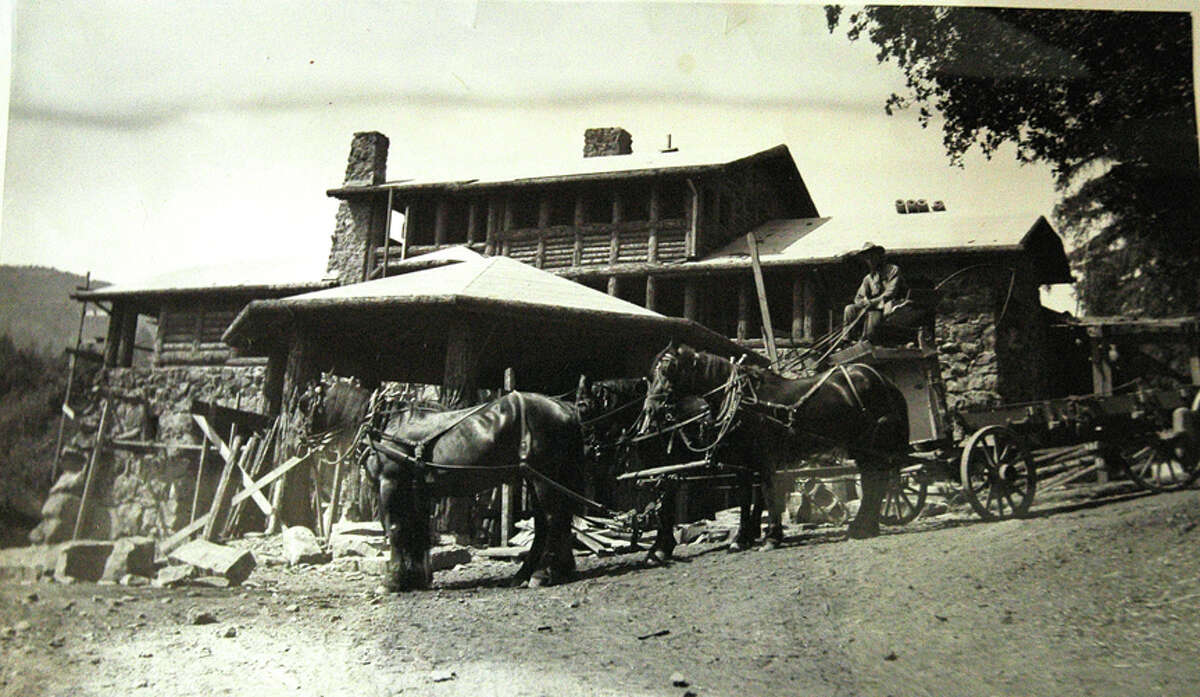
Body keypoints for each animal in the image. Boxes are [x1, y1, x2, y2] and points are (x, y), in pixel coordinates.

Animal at [364, 388, 590, 590]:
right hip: (539, 478)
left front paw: (391, 581)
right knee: (549, 523)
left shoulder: (391, 482)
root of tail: (564, 407)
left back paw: (540, 574)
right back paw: (545, 572)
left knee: (552, 520)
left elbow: (396, 530)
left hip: (543, 478)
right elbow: (416, 531)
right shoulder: (416, 491)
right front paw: (416, 579)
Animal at [633, 343, 902, 549]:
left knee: (874, 481)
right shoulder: (742, 463)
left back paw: (864, 526)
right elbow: (745, 498)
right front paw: (741, 539)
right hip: (861, 446)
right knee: (873, 481)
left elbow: (768, 492)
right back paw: (865, 525)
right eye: (650, 377)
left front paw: (772, 537)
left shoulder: (764, 458)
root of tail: (881, 378)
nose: (650, 410)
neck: (742, 400)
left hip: (870, 443)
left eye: (668, 370)